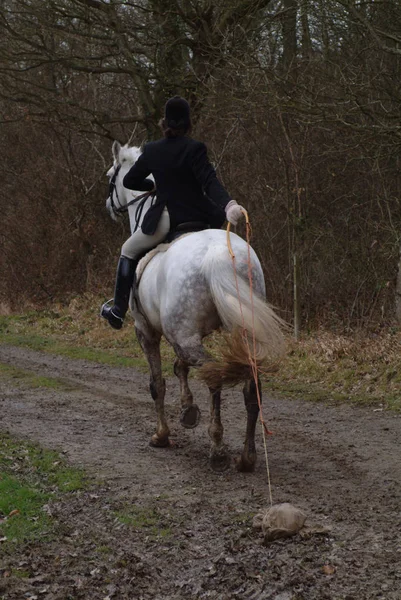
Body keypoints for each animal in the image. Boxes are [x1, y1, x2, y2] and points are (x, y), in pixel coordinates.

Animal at [103, 141, 284, 474]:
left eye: (112, 175)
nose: (109, 206)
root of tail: (220, 255)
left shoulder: (146, 331)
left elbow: (157, 383)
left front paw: (162, 434)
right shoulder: (185, 335)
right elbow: (180, 367)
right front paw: (187, 410)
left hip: (183, 335)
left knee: (214, 376)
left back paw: (217, 448)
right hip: (238, 333)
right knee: (250, 388)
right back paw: (247, 457)